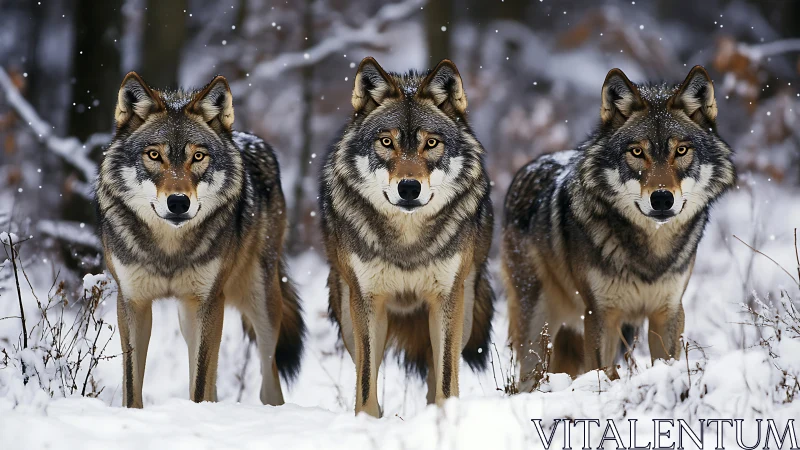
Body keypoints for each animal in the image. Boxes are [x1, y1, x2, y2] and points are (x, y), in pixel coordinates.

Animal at [96, 72, 305, 408]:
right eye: (154, 155)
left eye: (198, 156)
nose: (178, 202)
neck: (169, 249)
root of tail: (246, 137)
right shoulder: (131, 300)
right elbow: (132, 385)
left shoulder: (209, 300)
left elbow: (199, 384)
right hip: (187, 315)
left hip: (260, 301)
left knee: (268, 380)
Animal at [320, 57, 495, 417]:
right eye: (387, 142)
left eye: (431, 143)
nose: (409, 188)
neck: (408, 240)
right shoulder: (366, 301)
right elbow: (366, 379)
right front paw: (367, 421)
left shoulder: (447, 298)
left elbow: (445, 377)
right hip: (348, 315)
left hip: (465, 310)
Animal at [502, 66, 735, 391]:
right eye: (637, 152)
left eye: (681, 150)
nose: (661, 199)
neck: (651, 252)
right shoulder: (600, 315)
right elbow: (603, 373)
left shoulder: (668, 311)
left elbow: (665, 363)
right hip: (538, 322)